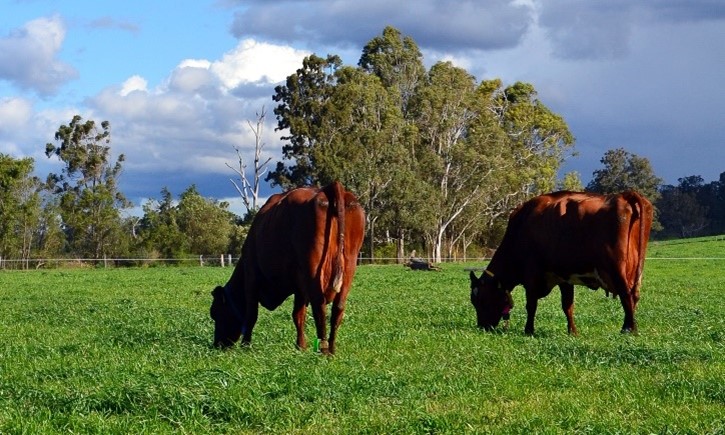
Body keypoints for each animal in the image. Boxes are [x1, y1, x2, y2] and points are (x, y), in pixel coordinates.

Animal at [212, 181, 364, 354]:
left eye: (215, 313)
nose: (217, 345)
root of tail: (327, 189)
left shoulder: (252, 277)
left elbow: (251, 315)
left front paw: (246, 345)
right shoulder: (299, 285)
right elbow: (298, 315)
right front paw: (301, 346)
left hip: (313, 269)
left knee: (319, 307)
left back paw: (323, 350)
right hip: (348, 266)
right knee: (338, 308)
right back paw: (331, 349)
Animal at [466, 190, 652, 334]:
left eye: (480, 300)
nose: (482, 327)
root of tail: (623, 195)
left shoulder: (531, 276)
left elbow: (531, 305)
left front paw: (528, 330)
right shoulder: (565, 278)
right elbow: (567, 306)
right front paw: (572, 331)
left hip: (616, 268)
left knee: (626, 295)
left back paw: (629, 329)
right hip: (637, 271)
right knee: (634, 296)